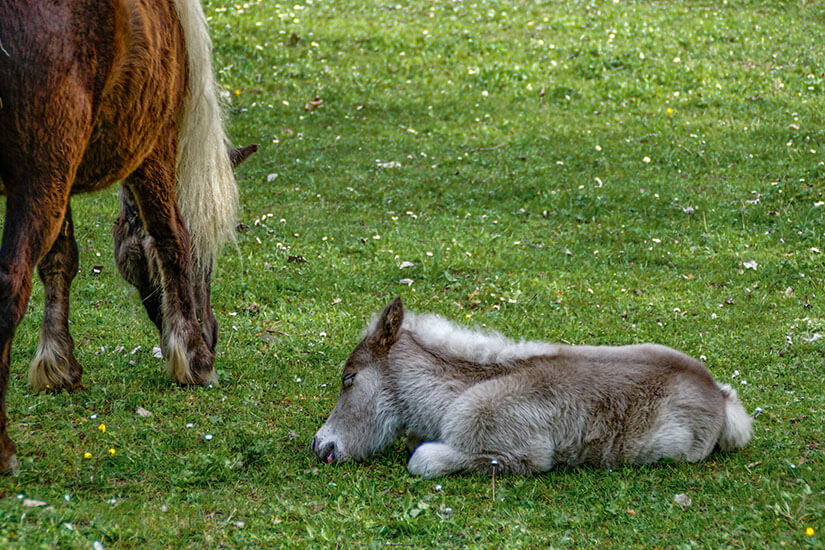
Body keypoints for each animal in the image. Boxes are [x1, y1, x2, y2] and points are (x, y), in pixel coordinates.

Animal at [0, 1, 245, 474]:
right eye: (207, 262)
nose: (212, 335)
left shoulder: (63, 173)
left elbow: (60, 259)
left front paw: (57, 364)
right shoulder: (153, 142)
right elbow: (171, 238)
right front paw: (193, 358)